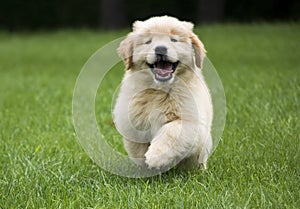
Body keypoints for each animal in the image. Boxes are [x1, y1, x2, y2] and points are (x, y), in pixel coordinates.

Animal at [113, 15, 213, 170]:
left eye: (174, 40)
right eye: (148, 41)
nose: (160, 49)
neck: (159, 90)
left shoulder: (191, 121)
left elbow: (171, 132)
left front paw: (156, 156)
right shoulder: (130, 120)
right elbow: (137, 146)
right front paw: (145, 165)